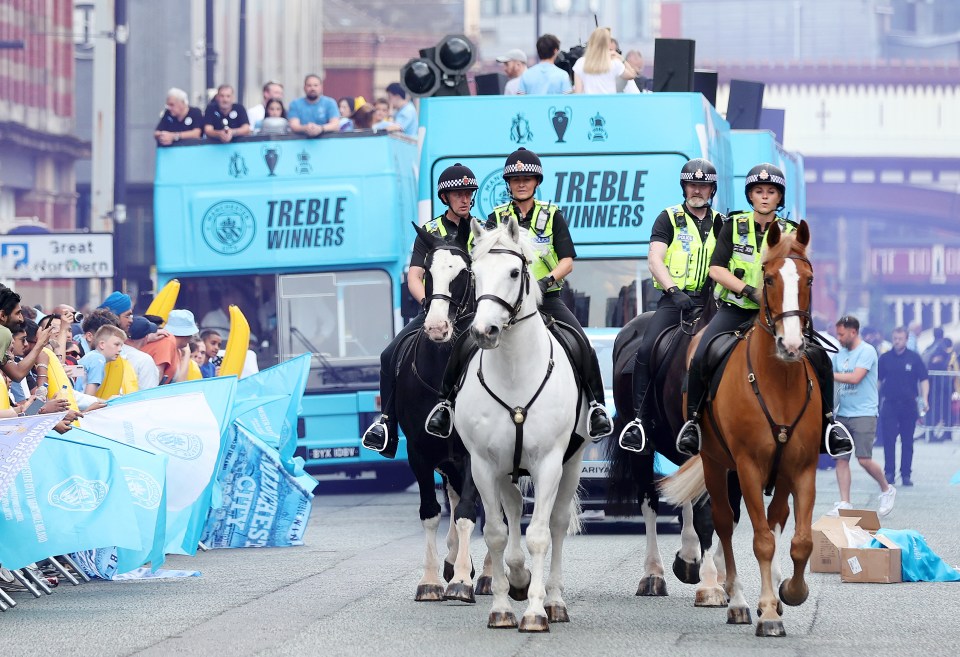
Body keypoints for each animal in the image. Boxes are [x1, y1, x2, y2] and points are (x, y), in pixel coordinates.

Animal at [392, 224, 488, 600]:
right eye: (427, 274)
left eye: (464, 273)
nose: (436, 328)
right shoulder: (419, 452)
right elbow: (431, 513)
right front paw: (432, 579)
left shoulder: (475, 454)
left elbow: (466, 512)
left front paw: (462, 580)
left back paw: (489, 574)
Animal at [448, 217, 588, 632]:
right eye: (474, 275)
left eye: (514, 272)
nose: (484, 332)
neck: (514, 372)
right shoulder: (482, 465)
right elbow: (495, 533)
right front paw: (502, 606)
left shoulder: (549, 463)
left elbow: (540, 534)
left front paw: (537, 611)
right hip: (506, 469)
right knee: (511, 509)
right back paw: (519, 578)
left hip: (572, 464)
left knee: (557, 524)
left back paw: (554, 601)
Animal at [608, 282, 744, 600]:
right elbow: (705, 512)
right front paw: (709, 582)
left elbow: (729, 513)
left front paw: (722, 577)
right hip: (643, 452)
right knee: (650, 502)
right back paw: (654, 575)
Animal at [664, 220, 820, 636]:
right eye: (768, 279)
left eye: (809, 279)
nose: (791, 344)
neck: (779, 382)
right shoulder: (748, 467)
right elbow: (762, 539)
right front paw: (767, 612)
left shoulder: (801, 468)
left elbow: (799, 539)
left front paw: (791, 592)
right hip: (716, 464)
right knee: (723, 523)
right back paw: (734, 599)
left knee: (773, 517)